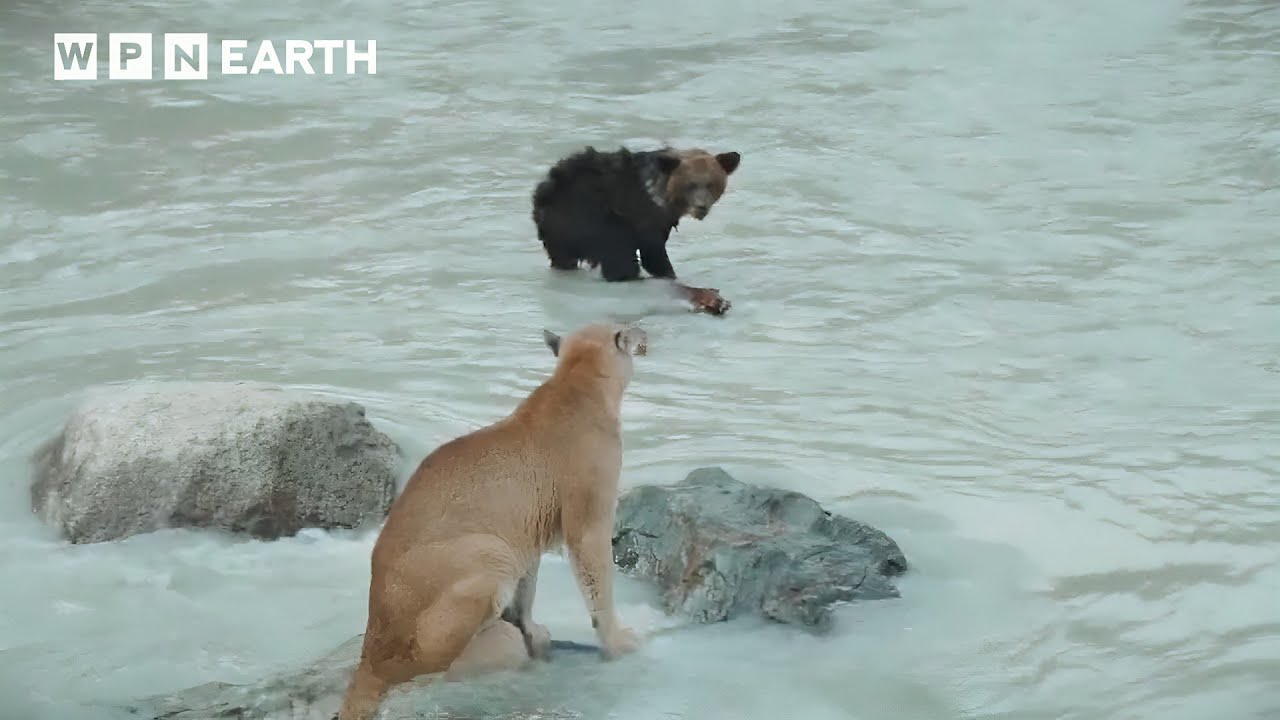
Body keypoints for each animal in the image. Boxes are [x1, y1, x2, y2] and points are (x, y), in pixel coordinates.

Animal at [531, 145, 741, 315]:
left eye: (711, 184)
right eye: (690, 185)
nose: (701, 206)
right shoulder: (643, 213)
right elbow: (654, 256)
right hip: (588, 217)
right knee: (618, 257)